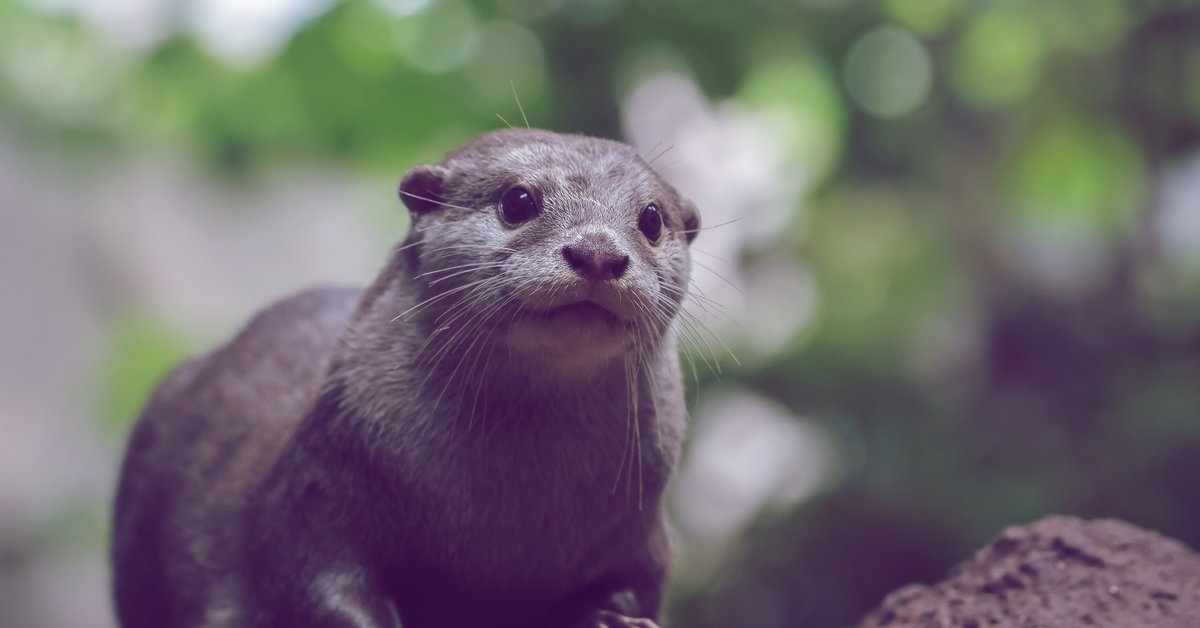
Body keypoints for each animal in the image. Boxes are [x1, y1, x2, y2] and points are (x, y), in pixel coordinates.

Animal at [111, 129, 702, 628]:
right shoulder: (313, 489)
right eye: (518, 201)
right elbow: (311, 579)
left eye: (652, 219)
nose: (598, 252)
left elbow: (636, 588)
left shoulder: (645, 539)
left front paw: (607, 617)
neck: (501, 535)